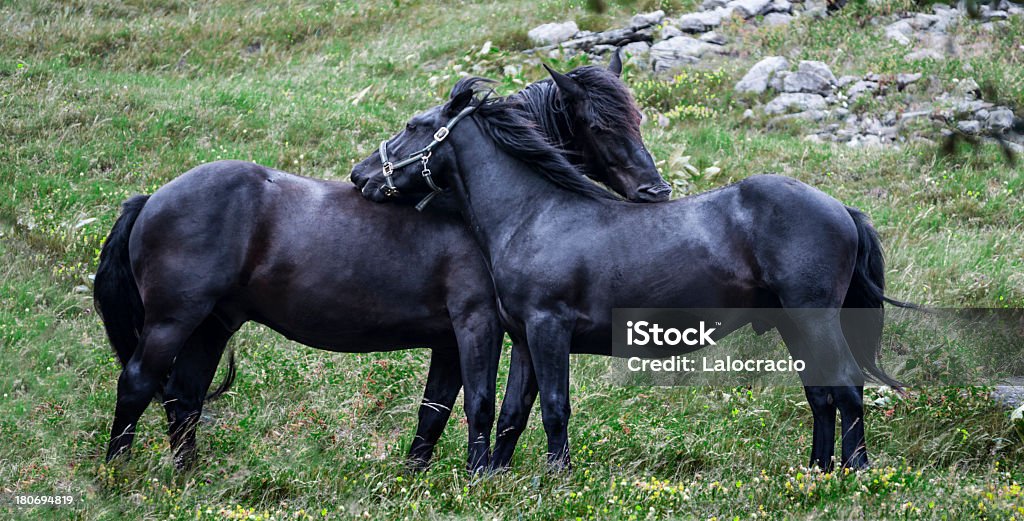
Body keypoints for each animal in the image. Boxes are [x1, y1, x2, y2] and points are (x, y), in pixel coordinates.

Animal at [94, 57, 671, 470]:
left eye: (637, 119)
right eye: (599, 125)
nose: (656, 191)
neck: (483, 212)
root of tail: (151, 198)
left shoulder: (454, 338)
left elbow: (437, 412)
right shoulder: (478, 324)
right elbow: (481, 403)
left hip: (211, 325)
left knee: (184, 398)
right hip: (174, 320)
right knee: (138, 383)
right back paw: (118, 477)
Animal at [350, 77, 913, 470]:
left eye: (413, 126)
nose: (360, 176)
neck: (534, 214)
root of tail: (841, 209)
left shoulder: (549, 327)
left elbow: (554, 407)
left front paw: (557, 479)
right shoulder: (526, 336)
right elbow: (514, 413)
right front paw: (493, 479)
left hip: (813, 319)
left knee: (846, 387)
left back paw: (855, 474)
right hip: (793, 324)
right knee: (821, 395)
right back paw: (818, 472)